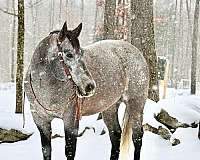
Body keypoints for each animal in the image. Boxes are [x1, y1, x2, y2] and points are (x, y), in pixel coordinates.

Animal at [23, 21, 148, 160]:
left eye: (82, 53)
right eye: (69, 54)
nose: (90, 86)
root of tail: (136, 52)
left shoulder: (71, 120)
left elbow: (70, 151)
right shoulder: (41, 121)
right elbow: (46, 151)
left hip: (136, 104)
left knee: (137, 137)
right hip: (110, 108)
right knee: (115, 134)